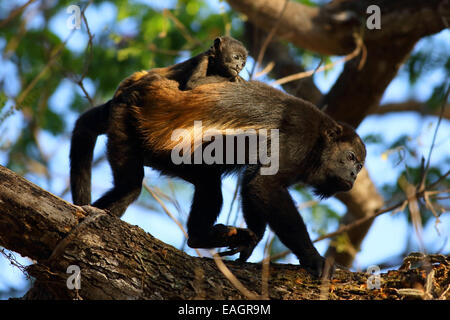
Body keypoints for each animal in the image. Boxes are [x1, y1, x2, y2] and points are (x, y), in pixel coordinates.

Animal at [70, 72, 366, 278]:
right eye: (351, 157)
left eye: (360, 166)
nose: (353, 175)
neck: (319, 141)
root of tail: (130, 94)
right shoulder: (299, 135)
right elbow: (264, 185)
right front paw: (314, 258)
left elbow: (252, 182)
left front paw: (251, 242)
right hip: (126, 122)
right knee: (131, 185)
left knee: (208, 183)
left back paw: (200, 236)